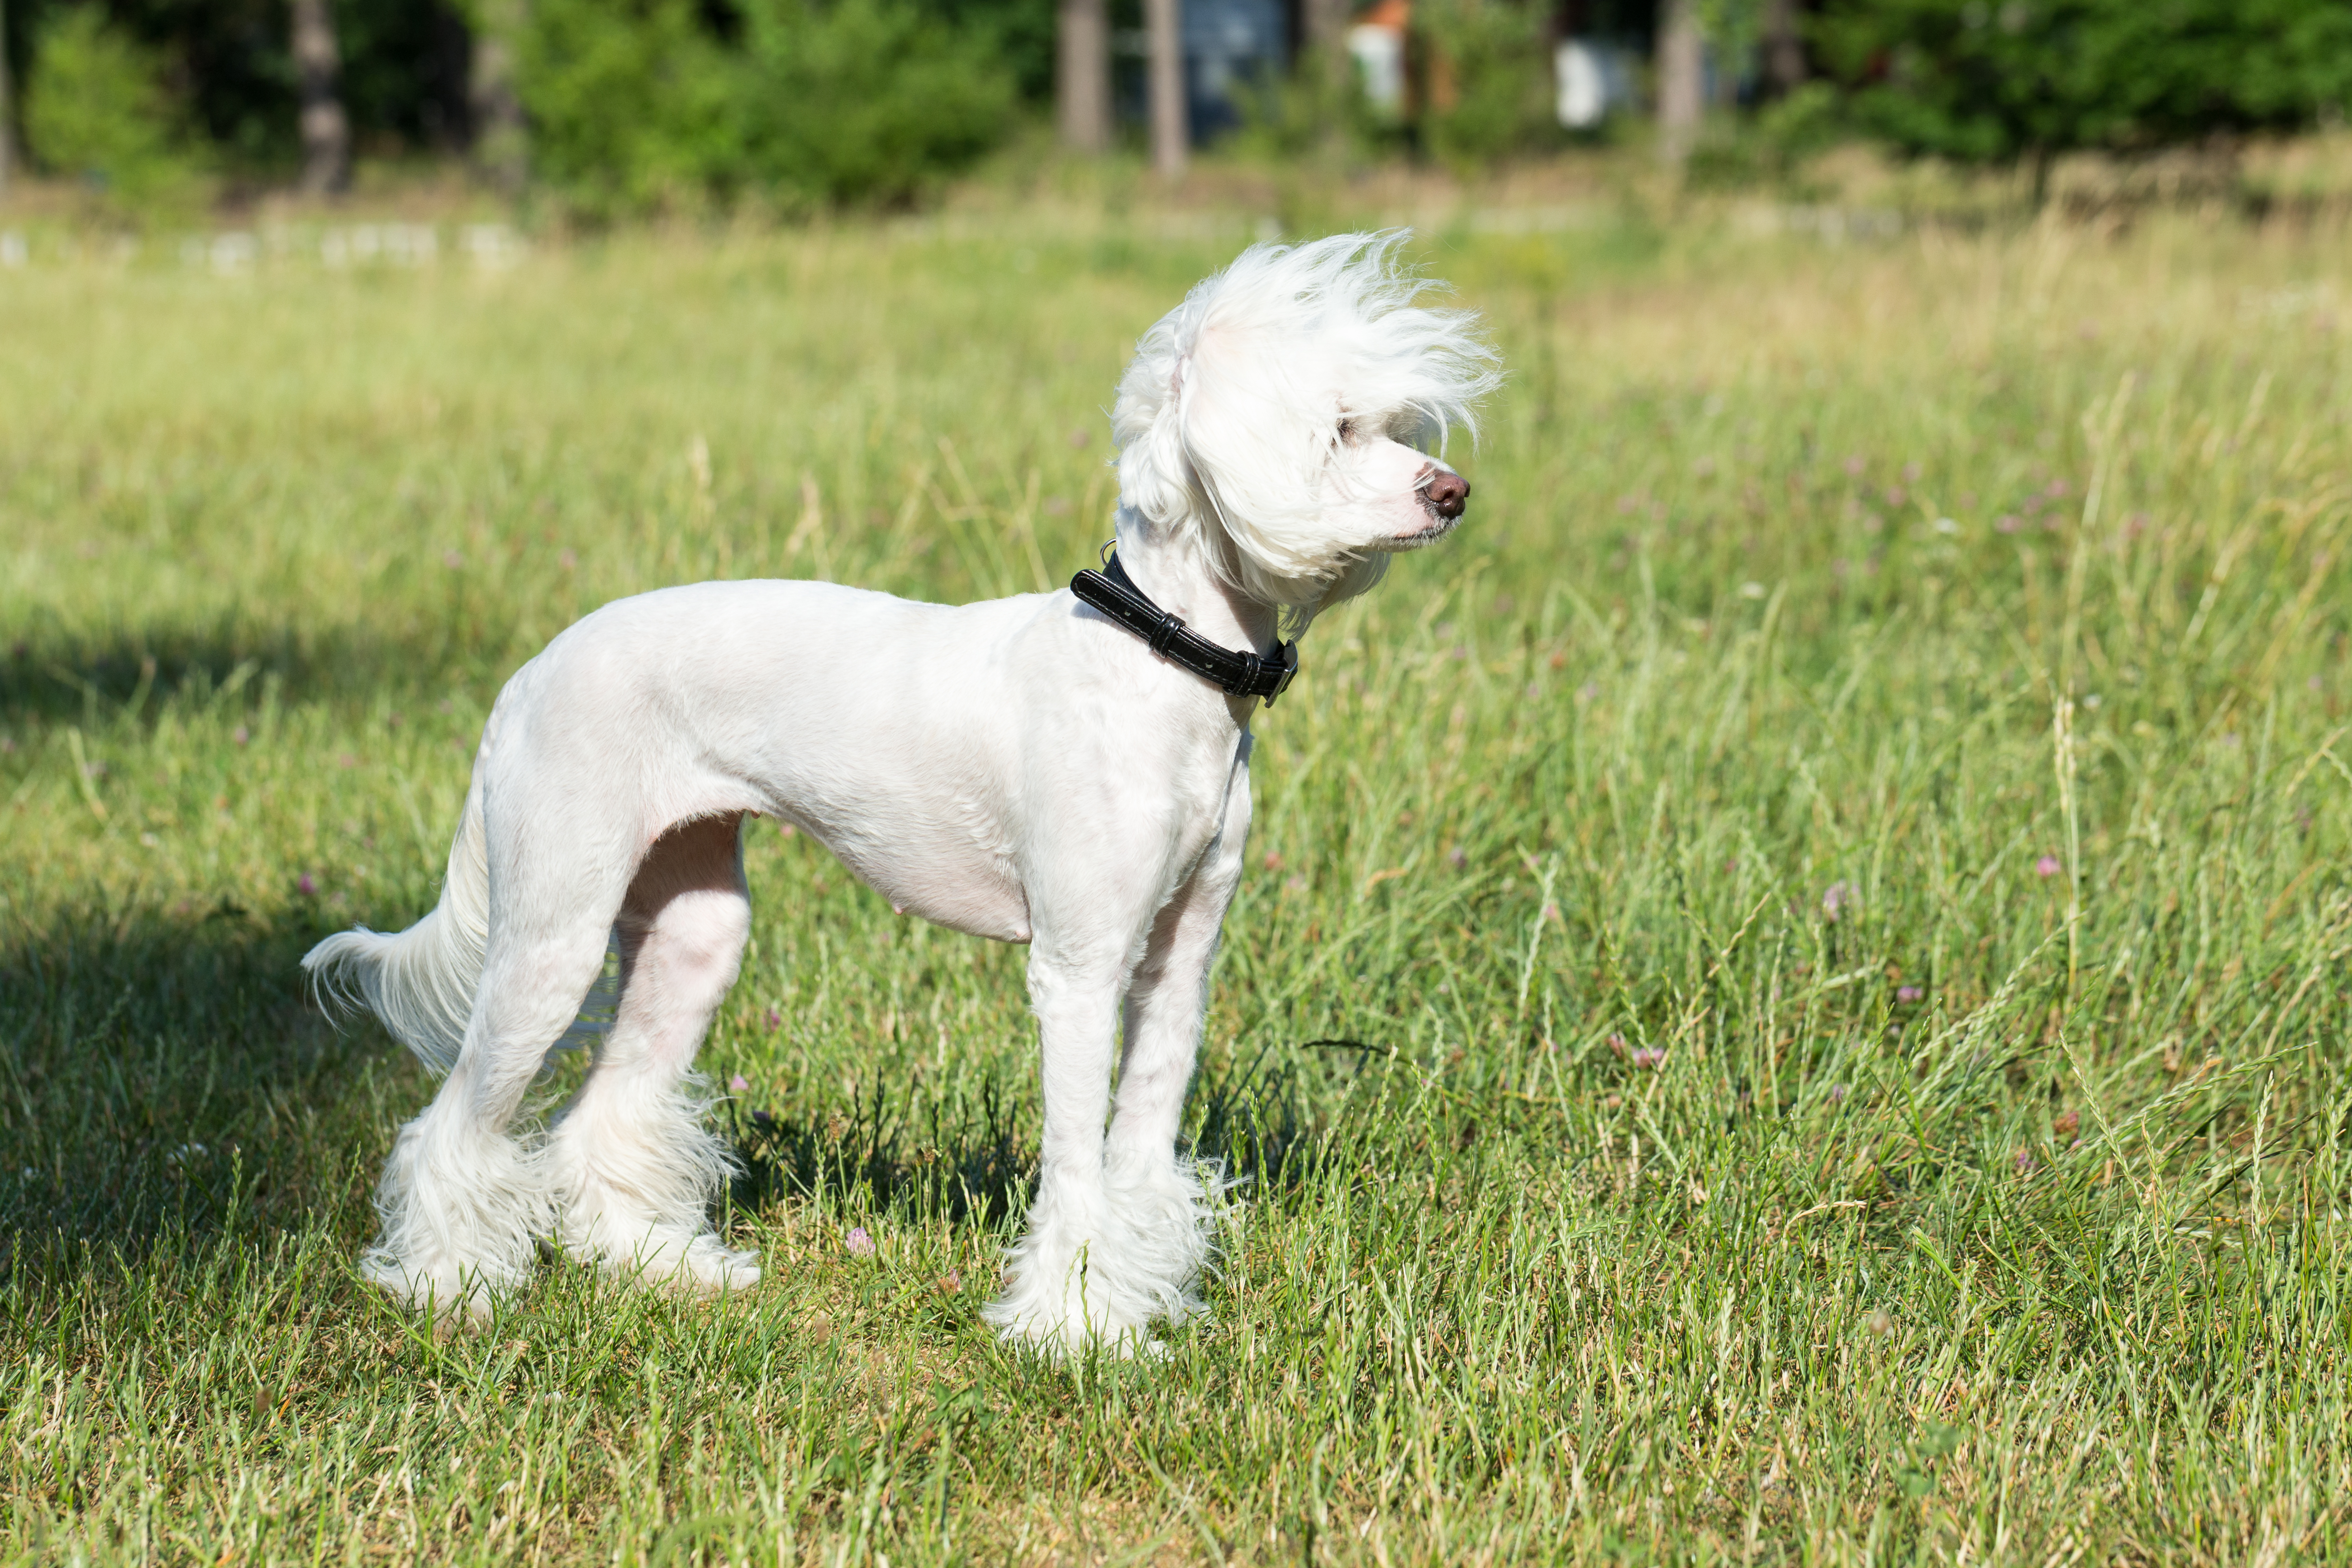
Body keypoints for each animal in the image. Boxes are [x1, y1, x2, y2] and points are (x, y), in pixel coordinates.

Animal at [303, 230, 1495, 1354]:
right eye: (1338, 429)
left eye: (1394, 422)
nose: (1452, 493)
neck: (1155, 659)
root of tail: (527, 676)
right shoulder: (1078, 970)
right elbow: (1078, 1167)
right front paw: (1075, 1329)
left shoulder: (1177, 962)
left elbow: (1141, 1151)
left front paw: (1144, 1290)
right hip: (551, 932)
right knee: (452, 1123)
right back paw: (447, 1289)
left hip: (693, 932)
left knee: (607, 1112)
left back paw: (660, 1266)